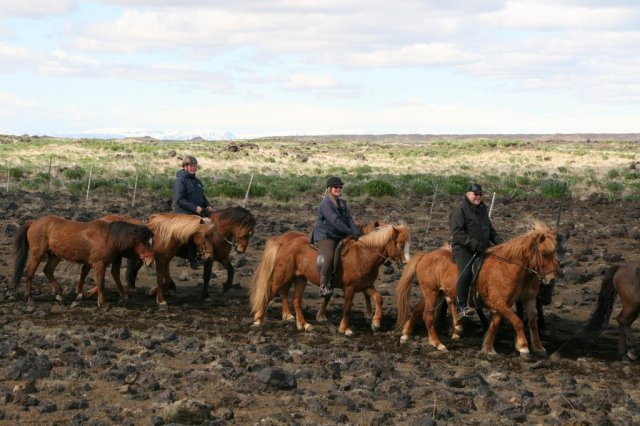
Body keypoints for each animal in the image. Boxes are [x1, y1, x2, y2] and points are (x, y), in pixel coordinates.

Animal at [12, 215, 154, 308]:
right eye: (144, 242)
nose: (150, 261)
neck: (109, 237)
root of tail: (33, 223)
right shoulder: (99, 264)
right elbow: (101, 283)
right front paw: (101, 303)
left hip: (54, 256)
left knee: (47, 270)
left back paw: (60, 295)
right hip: (37, 254)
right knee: (30, 273)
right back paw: (29, 298)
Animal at [250, 223, 410, 336]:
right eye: (401, 244)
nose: (406, 263)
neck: (363, 255)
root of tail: (284, 243)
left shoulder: (367, 285)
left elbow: (379, 298)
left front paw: (375, 323)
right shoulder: (350, 288)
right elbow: (347, 307)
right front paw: (345, 329)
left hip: (300, 279)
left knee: (296, 300)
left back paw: (304, 324)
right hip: (283, 276)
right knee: (271, 293)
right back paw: (259, 319)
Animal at [396, 220, 560, 356]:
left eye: (554, 253)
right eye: (544, 254)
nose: (551, 279)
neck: (509, 267)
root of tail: (424, 256)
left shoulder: (522, 300)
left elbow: (524, 322)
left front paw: (537, 347)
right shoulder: (500, 302)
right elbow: (517, 320)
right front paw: (523, 347)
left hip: (437, 293)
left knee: (418, 309)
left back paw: (406, 334)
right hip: (431, 293)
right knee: (427, 316)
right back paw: (438, 344)